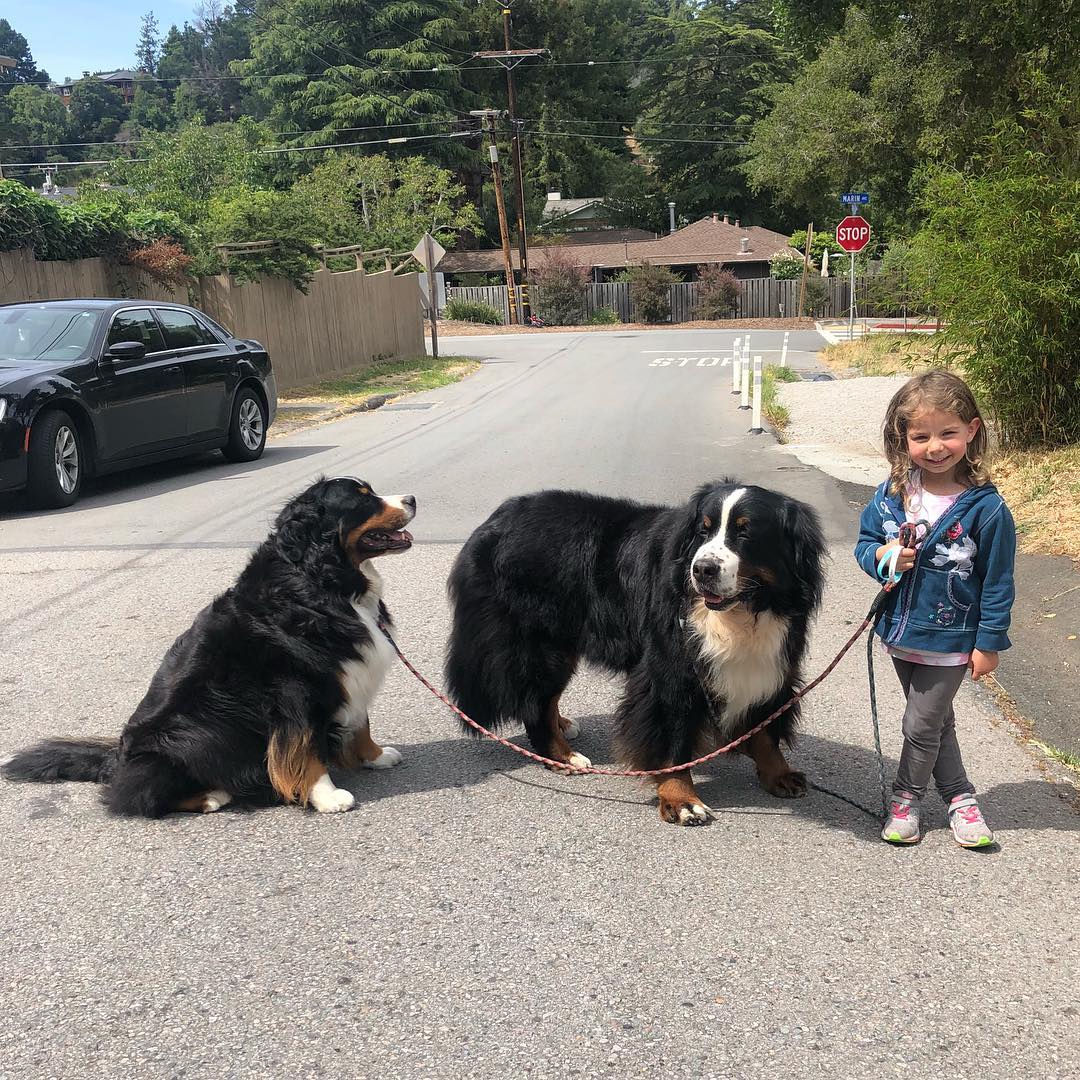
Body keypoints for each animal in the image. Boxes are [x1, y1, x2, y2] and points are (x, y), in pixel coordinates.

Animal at [2, 477, 414, 812]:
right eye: (363, 500)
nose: (412, 498)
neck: (321, 580)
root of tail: (116, 759)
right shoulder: (296, 690)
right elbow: (305, 748)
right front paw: (327, 796)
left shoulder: (347, 670)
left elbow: (361, 723)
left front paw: (376, 755)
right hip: (184, 740)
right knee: (136, 797)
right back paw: (212, 796)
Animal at [442, 481, 820, 825]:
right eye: (703, 530)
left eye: (746, 533)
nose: (702, 569)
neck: (744, 613)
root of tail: (496, 519)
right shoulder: (672, 670)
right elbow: (672, 738)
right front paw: (682, 799)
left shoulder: (771, 663)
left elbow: (766, 727)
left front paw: (779, 773)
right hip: (541, 644)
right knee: (535, 702)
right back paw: (562, 757)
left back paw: (563, 726)